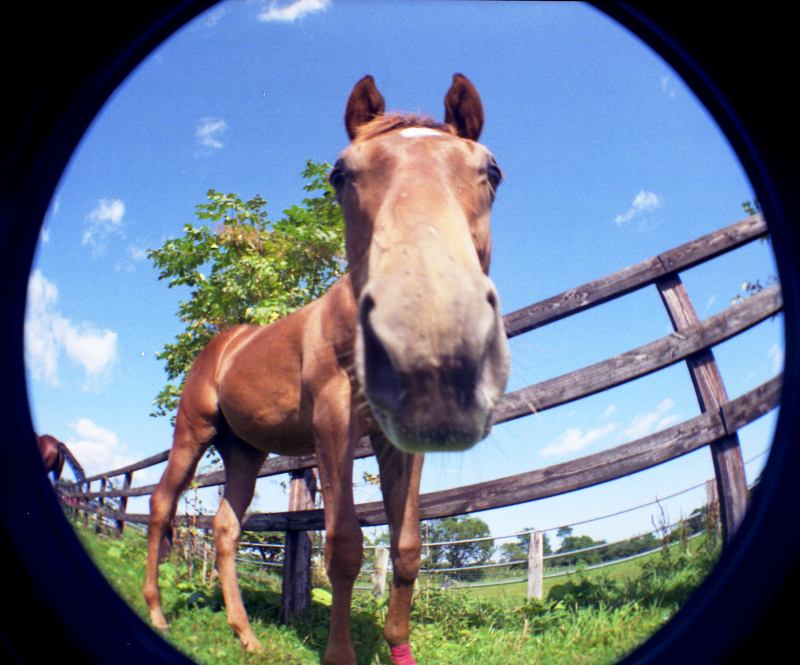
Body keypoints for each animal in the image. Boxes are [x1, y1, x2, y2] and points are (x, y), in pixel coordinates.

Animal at [142, 74, 512, 664]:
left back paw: (245, 634)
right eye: (340, 173)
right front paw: (341, 654)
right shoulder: (332, 423)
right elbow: (342, 546)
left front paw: (398, 645)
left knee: (225, 528)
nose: (431, 331)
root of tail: (223, 343)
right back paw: (157, 612)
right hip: (192, 432)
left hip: (244, 451)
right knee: (161, 505)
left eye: (492, 170)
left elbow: (407, 545)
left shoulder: (397, 440)